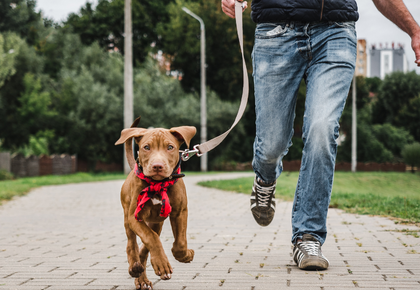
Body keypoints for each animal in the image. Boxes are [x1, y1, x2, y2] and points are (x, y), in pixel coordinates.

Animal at [115, 118, 196, 290]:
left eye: (170, 147)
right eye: (146, 147)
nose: (157, 166)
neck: (158, 184)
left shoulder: (180, 212)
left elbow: (179, 243)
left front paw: (185, 255)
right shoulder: (134, 217)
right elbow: (150, 238)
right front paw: (162, 264)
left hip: (156, 222)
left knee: (146, 246)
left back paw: (142, 276)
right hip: (127, 217)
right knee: (132, 244)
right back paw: (135, 268)